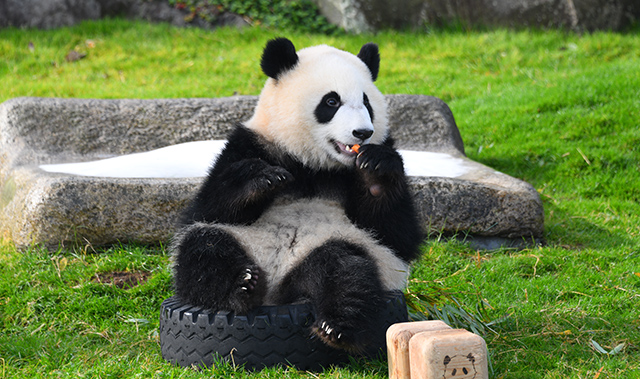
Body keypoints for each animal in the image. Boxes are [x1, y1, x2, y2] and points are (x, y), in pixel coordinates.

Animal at [171, 37, 420, 354]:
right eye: (331, 102)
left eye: (367, 102)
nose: (362, 133)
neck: (313, 165)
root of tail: (277, 293)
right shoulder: (250, 145)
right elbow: (208, 208)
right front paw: (263, 179)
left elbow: (396, 233)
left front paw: (376, 172)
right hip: (244, 243)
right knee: (204, 249)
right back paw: (242, 287)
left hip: (344, 248)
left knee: (345, 268)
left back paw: (337, 326)